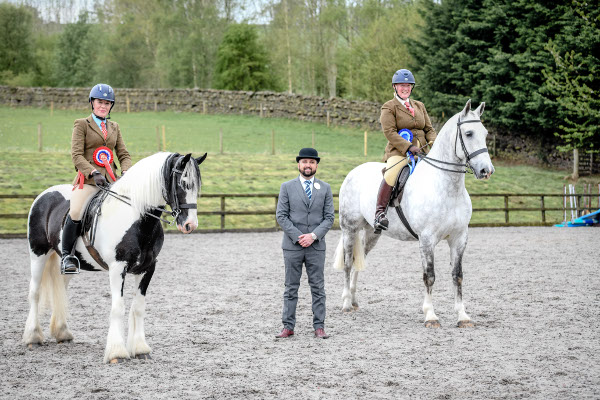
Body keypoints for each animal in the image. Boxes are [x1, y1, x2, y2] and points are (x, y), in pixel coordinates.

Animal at [23, 151, 207, 362]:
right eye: (183, 183)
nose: (190, 225)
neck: (136, 217)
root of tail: (44, 195)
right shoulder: (117, 268)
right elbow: (118, 307)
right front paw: (117, 352)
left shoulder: (148, 268)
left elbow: (138, 307)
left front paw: (140, 349)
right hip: (38, 253)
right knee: (35, 292)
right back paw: (33, 337)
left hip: (67, 265)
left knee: (60, 290)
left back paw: (62, 333)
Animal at [330, 98, 494, 326]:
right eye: (469, 133)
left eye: (485, 133)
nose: (486, 171)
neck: (447, 187)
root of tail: (354, 172)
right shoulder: (426, 239)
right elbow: (429, 276)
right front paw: (430, 315)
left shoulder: (459, 238)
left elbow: (457, 275)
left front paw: (462, 316)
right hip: (349, 228)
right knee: (347, 263)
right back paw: (346, 303)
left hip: (372, 233)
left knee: (358, 261)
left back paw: (354, 301)